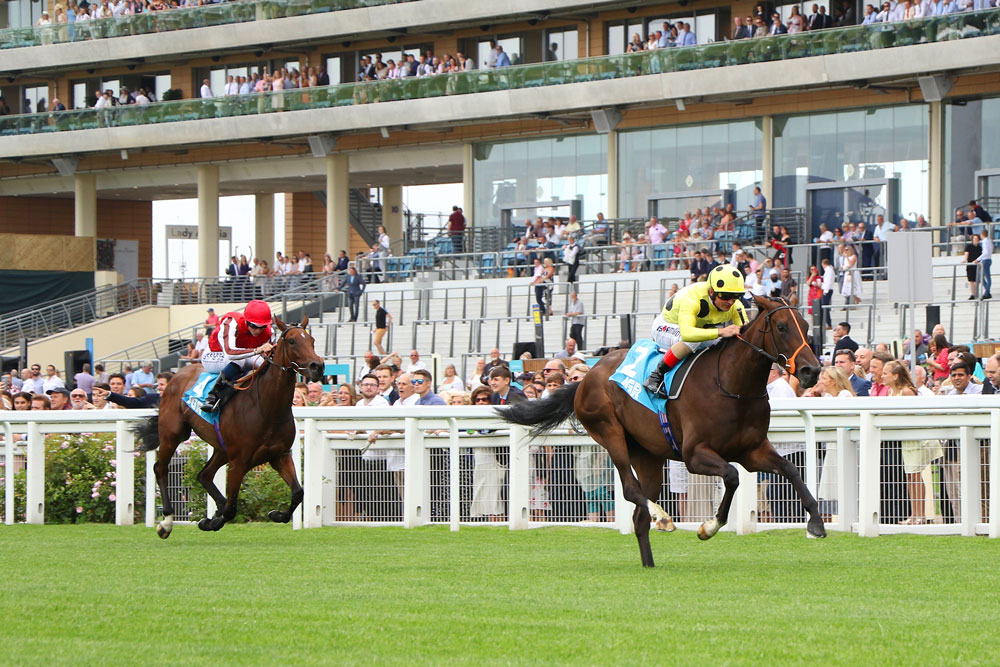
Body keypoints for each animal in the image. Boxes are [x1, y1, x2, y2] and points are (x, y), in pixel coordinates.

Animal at [133, 316, 324, 540]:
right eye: (292, 341)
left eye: (312, 340)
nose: (318, 366)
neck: (266, 408)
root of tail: (175, 376)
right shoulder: (239, 461)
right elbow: (232, 509)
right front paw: (210, 522)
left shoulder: (280, 455)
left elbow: (298, 493)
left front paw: (276, 514)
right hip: (172, 434)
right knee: (161, 469)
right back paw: (166, 523)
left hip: (221, 448)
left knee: (204, 475)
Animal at [504, 298, 824, 568]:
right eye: (781, 327)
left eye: (806, 326)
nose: (812, 371)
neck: (732, 385)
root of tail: (585, 378)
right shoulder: (695, 454)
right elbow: (732, 477)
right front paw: (708, 528)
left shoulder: (752, 451)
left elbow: (790, 469)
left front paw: (816, 523)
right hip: (609, 431)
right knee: (631, 490)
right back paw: (662, 517)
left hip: (648, 455)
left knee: (638, 515)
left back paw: (649, 562)